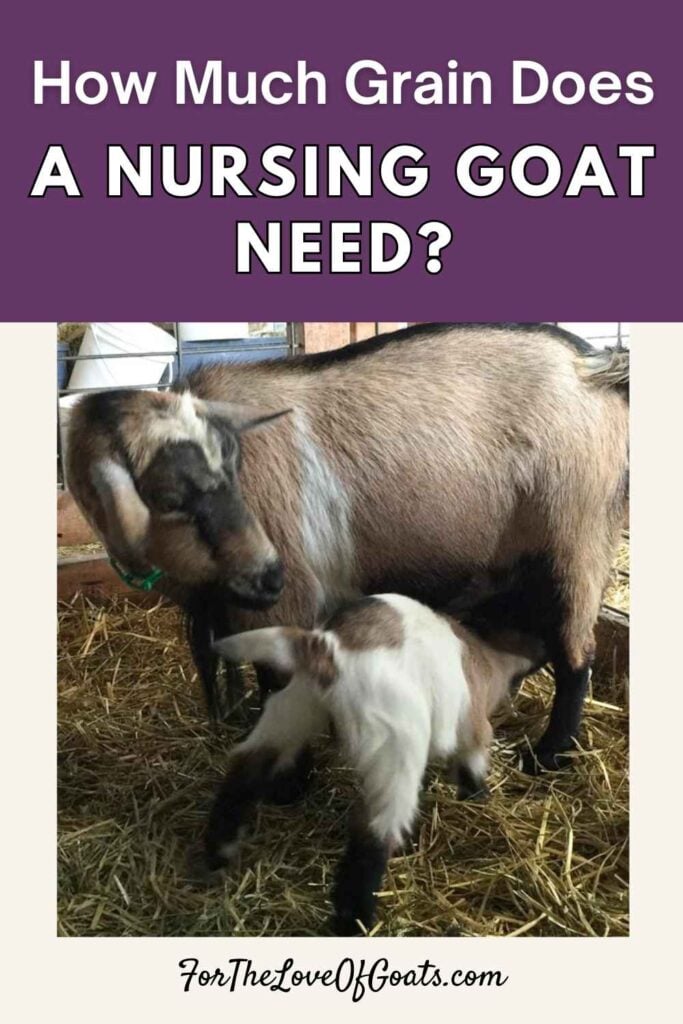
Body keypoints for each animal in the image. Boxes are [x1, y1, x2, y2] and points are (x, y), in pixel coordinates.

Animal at [66, 323, 629, 775]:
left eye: (231, 469)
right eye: (168, 497)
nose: (268, 575)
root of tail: (593, 368)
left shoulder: (286, 601)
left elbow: (275, 679)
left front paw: (290, 780)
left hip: (574, 542)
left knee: (576, 655)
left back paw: (549, 755)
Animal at [208, 593, 545, 935]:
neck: (486, 656)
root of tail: (326, 648)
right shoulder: (472, 730)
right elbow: (471, 767)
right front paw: (478, 798)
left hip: (293, 711)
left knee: (243, 775)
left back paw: (216, 855)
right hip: (394, 751)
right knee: (373, 837)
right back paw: (354, 921)